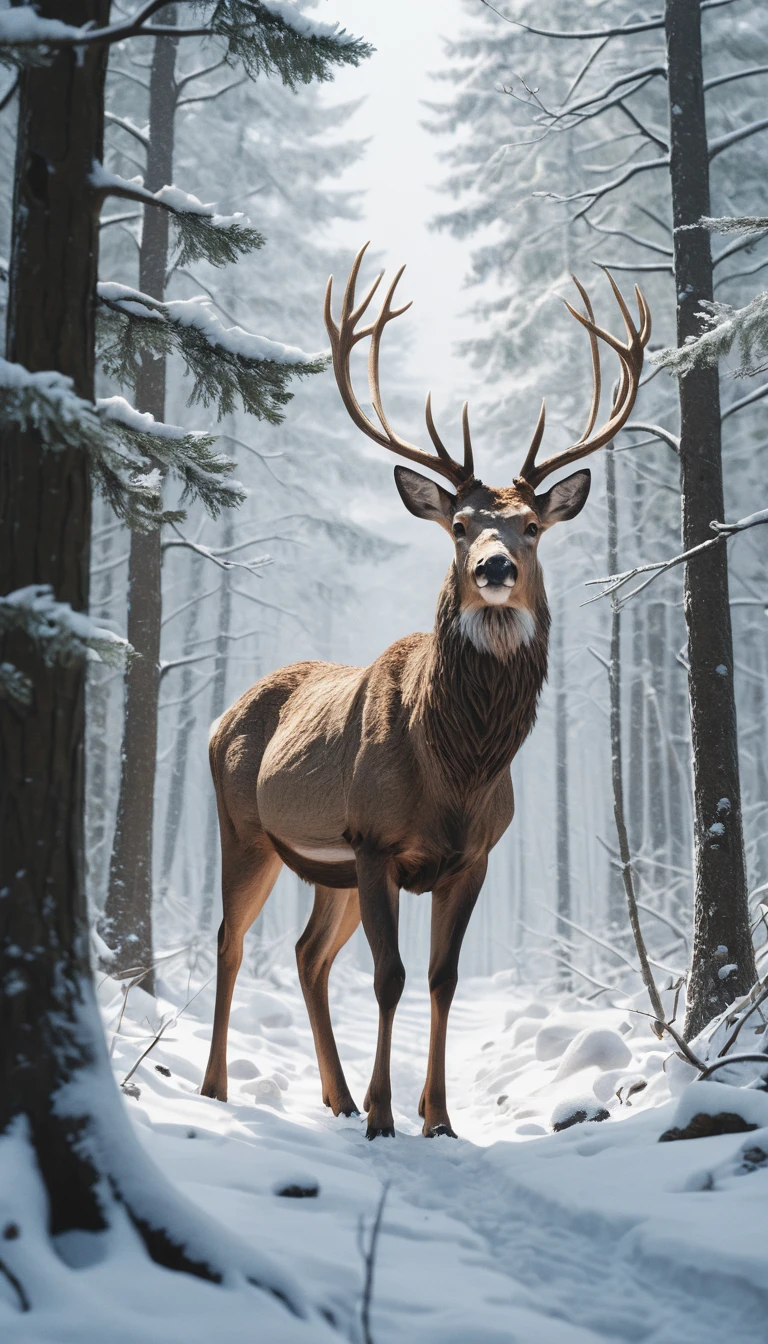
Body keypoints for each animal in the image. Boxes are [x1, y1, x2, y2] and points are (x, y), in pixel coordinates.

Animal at [201, 244, 650, 1138]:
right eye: (459, 524)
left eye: (532, 526)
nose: (494, 568)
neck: (456, 768)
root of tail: (217, 719)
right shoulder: (375, 840)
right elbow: (392, 978)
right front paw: (386, 1116)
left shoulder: (472, 856)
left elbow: (443, 979)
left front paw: (436, 1116)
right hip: (246, 828)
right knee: (232, 941)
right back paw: (220, 1089)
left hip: (326, 870)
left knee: (306, 955)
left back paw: (334, 1099)